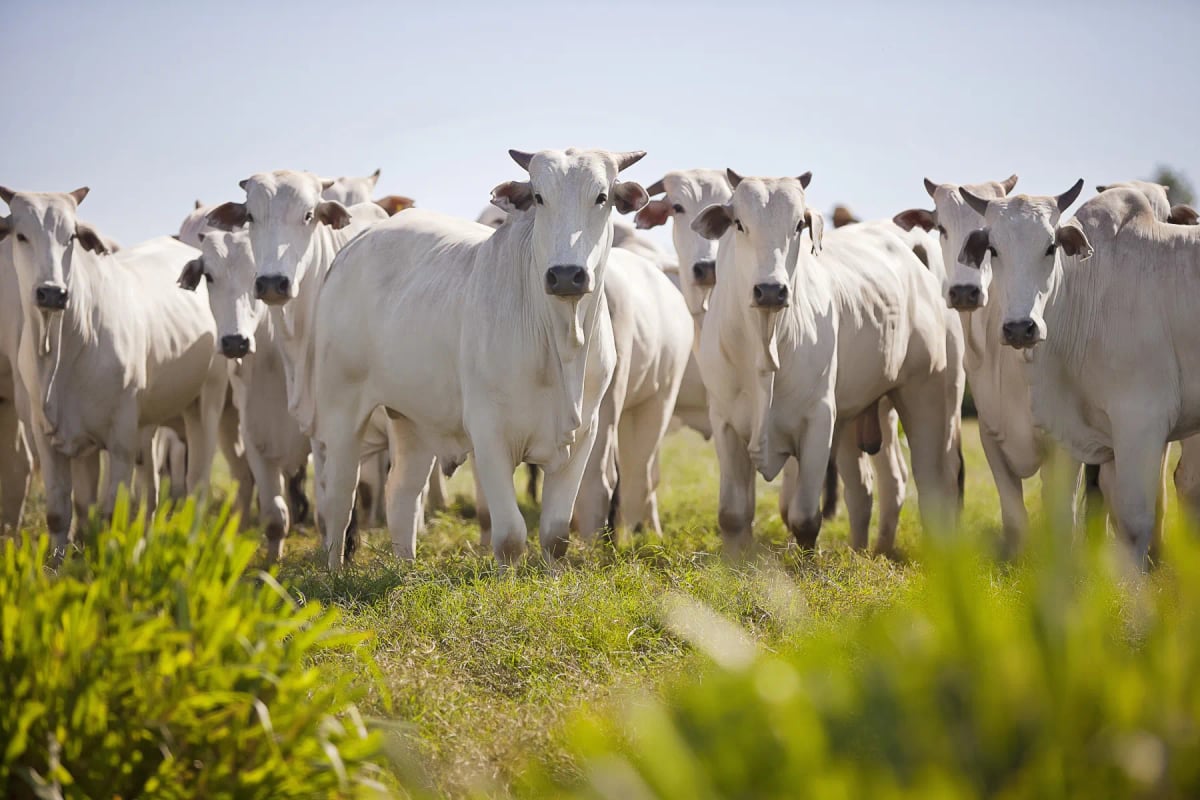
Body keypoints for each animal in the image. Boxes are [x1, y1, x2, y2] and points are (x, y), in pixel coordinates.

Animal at [0, 186, 227, 552]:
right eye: (21, 235)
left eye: (71, 236)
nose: (52, 292)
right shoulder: (50, 437)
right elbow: (65, 513)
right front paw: (58, 561)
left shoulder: (119, 439)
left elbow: (110, 514)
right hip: (148, 423)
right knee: (151, 489)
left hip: (207, 399)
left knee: (197, 483)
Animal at [178, 230, 311, 561]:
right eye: (209, 275)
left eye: (256, 276)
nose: (234, 342)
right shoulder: (254, 435)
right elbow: (274, 513)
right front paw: (272, 561)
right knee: (243, 478)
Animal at [307, 148, 645, 569]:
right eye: (539, 197)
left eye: (601, 197)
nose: (566, 275)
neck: (560, 343)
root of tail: (356, 245)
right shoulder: (489, 433)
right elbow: (510, 536)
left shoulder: (584, 435)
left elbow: (555, 536)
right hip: (341, 407)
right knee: (339, 496)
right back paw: (335, 570)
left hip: (412, 418)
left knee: (401, 493)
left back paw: (407, 570)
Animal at [694, 171, 963, 554]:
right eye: (739, 224)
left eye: (798, 225)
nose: (771, 290)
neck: (765, 344)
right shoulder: (725, 422)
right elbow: (733, 516)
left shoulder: (819, 419)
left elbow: (805, 519)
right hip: (862, 413)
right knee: (872, 487)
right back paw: (868, 550)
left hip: (930, 397)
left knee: (934, 484)